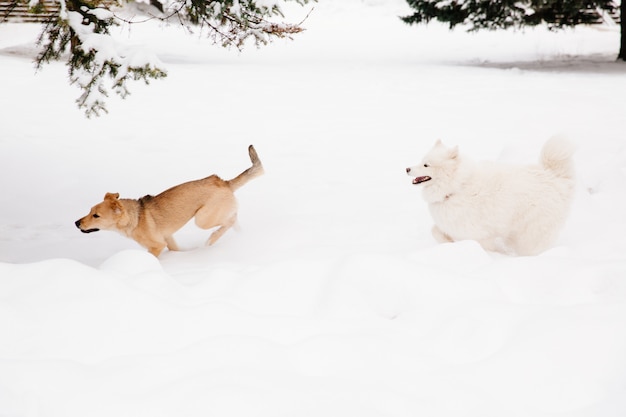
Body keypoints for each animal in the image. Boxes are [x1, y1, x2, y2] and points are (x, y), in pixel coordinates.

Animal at [74, 145, 262, 255]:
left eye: (96, 216)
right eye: (89, 211)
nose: (76, 223)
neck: (136, 218)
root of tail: (223, 182)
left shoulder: (157, 246)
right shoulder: (168, 240)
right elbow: (176, 250)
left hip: (202, 219)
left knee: (228, 221)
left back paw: (212, 239)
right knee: (233, 218)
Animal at [404, 137, 576, 254]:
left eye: (426, 165)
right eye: (421, 161)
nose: (407, 168)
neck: (457, 187)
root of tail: (553, 176)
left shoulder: (480, 234)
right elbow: (435, 230)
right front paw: (448, 242)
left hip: (531, 232)